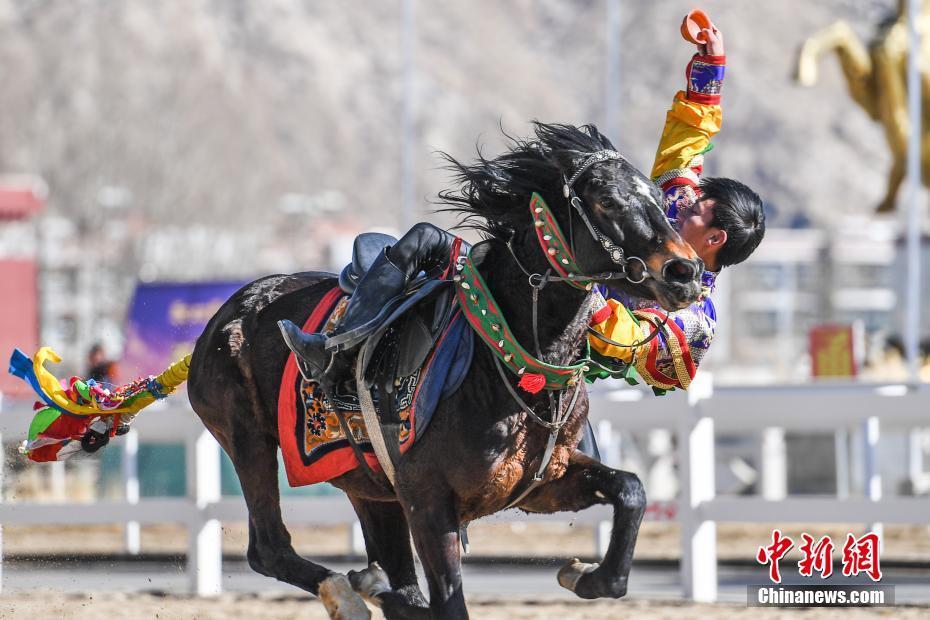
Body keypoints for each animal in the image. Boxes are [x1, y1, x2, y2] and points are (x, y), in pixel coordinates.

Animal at [185, 122, 700, 620]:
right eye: (607, 200)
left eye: (661, 201)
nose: (685, 272)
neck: (509, 364)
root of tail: (230, 312)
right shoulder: (427, 502)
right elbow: (450, 602)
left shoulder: (538, 484)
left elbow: (630, 489)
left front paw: (587, 575)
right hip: (247, 438)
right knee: (269, 548)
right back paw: (351, 594)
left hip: (371, 492)